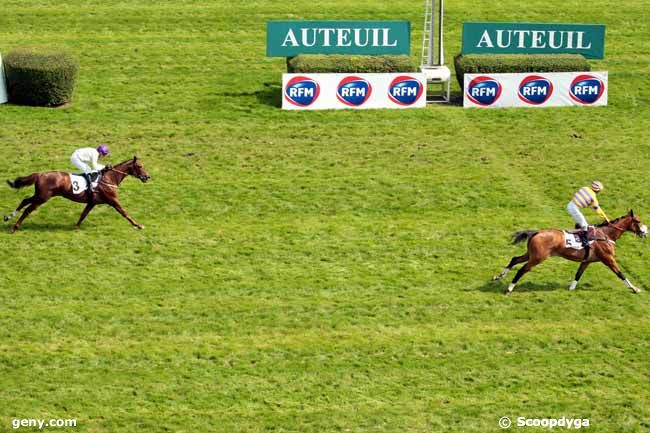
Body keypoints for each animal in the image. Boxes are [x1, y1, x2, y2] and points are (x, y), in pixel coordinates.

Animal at [5, 154, 149, 230]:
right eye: (140, 166)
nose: (147, 177)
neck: (109, 178)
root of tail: (40, 174)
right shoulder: (113, 200)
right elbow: (125, 213)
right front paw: (138, 225)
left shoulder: (92, 203)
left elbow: (83, 214)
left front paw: (76, 227)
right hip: (42, 197)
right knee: (28, 209)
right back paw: (15, 227)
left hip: (39, 195)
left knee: (24, 201)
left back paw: (8, 217)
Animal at [494, 211, 644, 296]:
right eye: (638, 221)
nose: (644, 232)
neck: (605, 235)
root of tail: (536, 232)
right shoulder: (608, 259)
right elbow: (620, 274)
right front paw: (635, 288)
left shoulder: (587, 261)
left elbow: (578, 274)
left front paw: (571, 289)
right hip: (538, 258)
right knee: (522, 270)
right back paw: (509, 289)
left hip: (531, 254)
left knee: (515, 259)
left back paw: (498, 276)